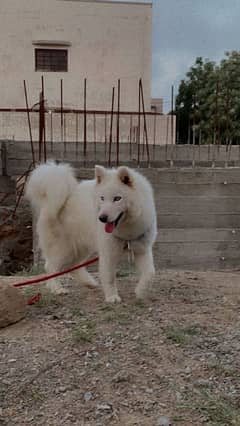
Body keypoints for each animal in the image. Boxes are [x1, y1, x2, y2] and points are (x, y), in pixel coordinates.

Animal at [26, 161, 158, 302]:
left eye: (117, 198)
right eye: (102, 198)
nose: (102, 218)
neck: (127, 230)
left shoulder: (142, 250)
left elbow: (150, 273)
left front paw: (141, 292)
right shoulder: (108, 253)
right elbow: (109, 277)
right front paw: (112, 297)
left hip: (81, 247)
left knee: (73, 266)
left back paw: (89, 282)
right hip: (64, 249)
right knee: (51, 267)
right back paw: (57, 288)